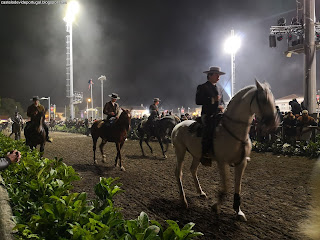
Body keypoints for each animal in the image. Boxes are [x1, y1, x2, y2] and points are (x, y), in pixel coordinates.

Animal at [171, 80, 278, 221]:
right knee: (179, 173)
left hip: (197, 155)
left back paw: (200, 192)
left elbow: (238, 187)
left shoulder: (241, 163)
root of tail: (177, 125)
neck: (234, 132)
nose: (273, 123)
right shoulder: (222, 162)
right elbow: (226, 187)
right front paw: (216, 206)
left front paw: (238, 211)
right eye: (263, 99)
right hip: (180, 152)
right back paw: (183, 201)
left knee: (193, 170)